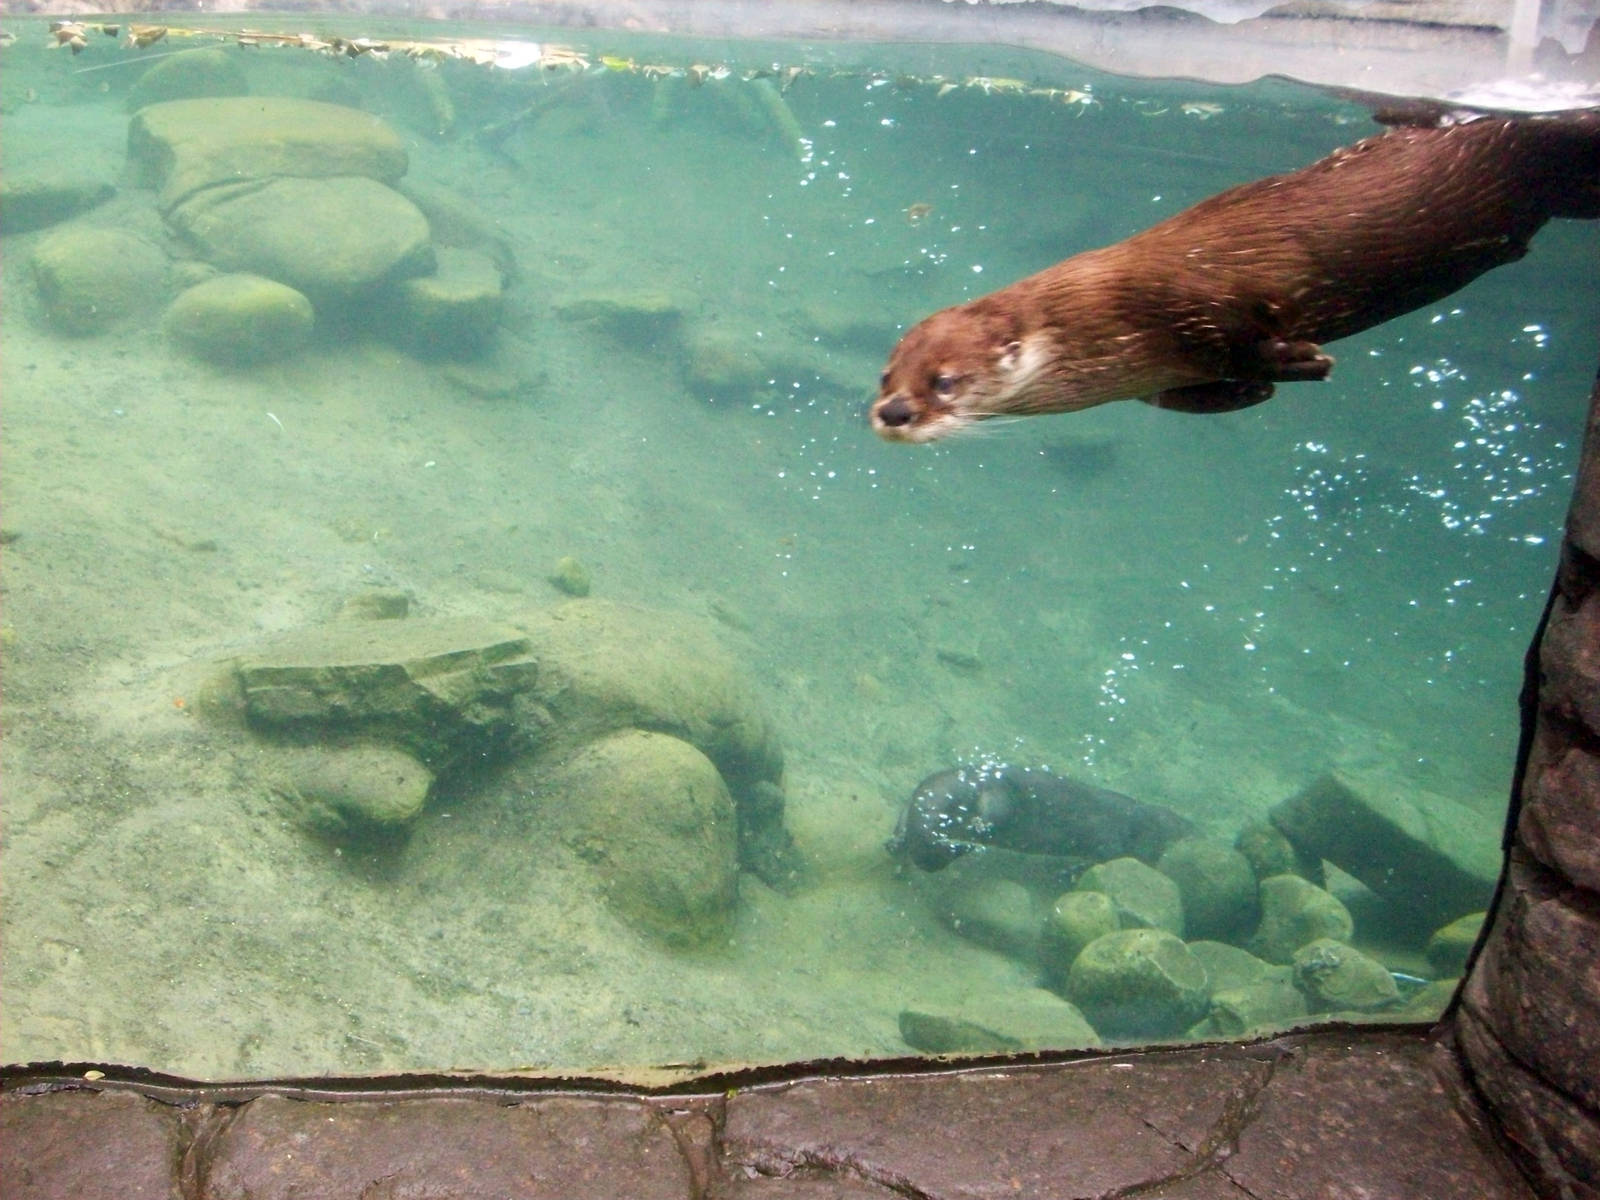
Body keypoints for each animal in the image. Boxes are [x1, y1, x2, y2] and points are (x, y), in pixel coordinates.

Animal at [871, 112, 1600, 442]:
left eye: (945, 381)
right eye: (886, 374)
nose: (892, 412)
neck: (1101, 317)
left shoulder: (1201, 303)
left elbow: (1251, 332)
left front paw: (1301, 362)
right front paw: (1248, 392)